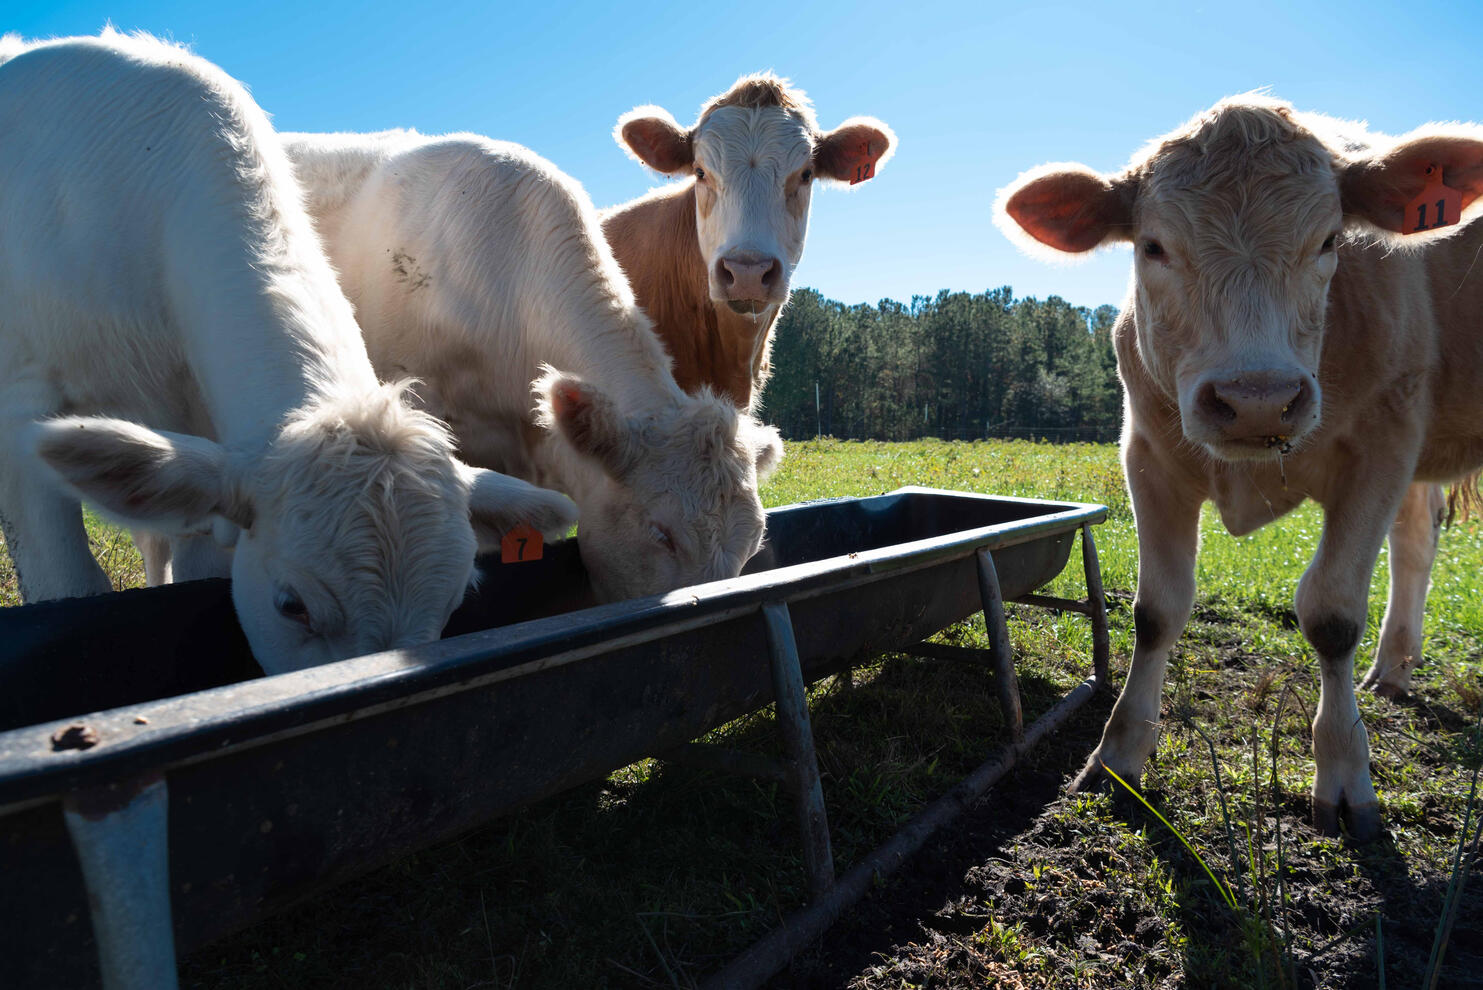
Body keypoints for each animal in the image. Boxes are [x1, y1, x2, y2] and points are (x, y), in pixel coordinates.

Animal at [996, 93, 1483, 841]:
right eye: (1152, 245)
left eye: (1330, 241)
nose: (1257, 401)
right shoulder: (1148, 454)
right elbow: (1156, 610)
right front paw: (1117, 756)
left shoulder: (1383, 448)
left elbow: (1332, 614)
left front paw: (1345, 775)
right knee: (1415, 545)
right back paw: (1394, 668)